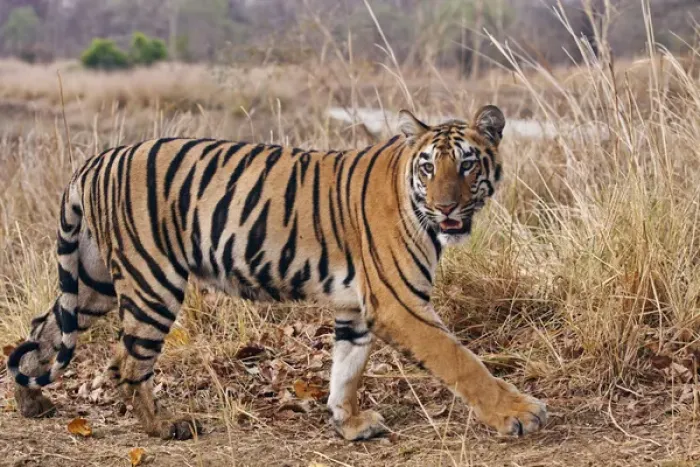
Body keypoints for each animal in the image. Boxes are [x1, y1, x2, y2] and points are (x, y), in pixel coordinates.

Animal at [7, 105, 547, 441]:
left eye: (468, 166)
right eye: (429, 168)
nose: (447, 207)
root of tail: (97, 159)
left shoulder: (356, 307)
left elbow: (346, 368)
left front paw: (348, 424)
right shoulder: (400, 303)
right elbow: (463, 362)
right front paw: (519, 414)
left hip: (92, 281)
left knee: (42, 331)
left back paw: (31, 403)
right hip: (152, 282)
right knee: (128, 363)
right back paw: (164, 428)